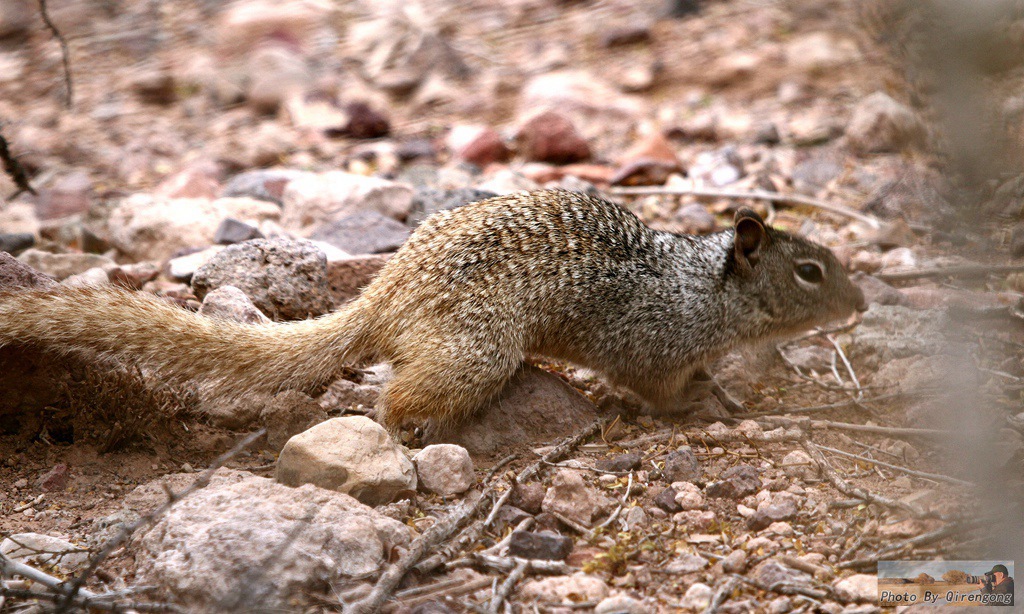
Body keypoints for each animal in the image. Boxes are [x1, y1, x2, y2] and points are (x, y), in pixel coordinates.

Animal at [0, 189, 864, 429]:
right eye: (812, 271)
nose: (863, 301)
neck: (704, 291)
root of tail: (388, 292)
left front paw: (724, 388)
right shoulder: (650, 345)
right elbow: (658, 389)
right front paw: (702, 404)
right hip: (477, 351)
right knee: (396, 395)